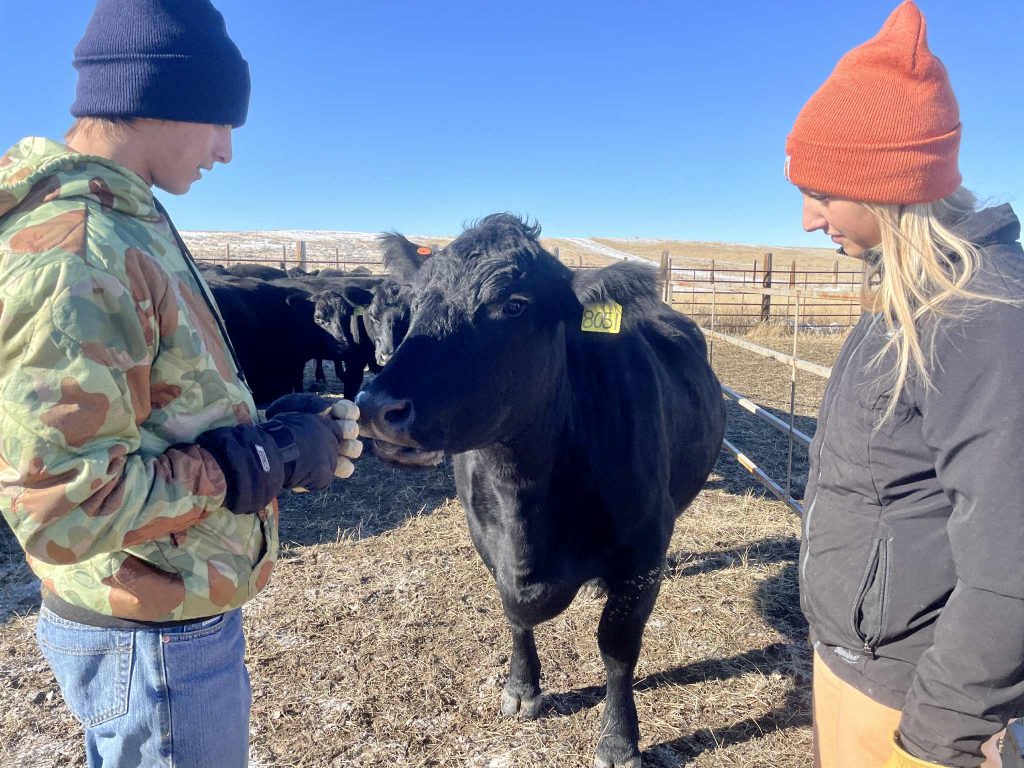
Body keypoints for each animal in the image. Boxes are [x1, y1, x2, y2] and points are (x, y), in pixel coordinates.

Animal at [357, 214, 726, 767]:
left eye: (513, 305)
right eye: (417, 303)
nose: (376, 406)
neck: (527, 496)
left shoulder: (643, 549)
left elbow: (618, 644)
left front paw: (619, 740)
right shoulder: (486, 538)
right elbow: (514, 614)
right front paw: (521, 688)